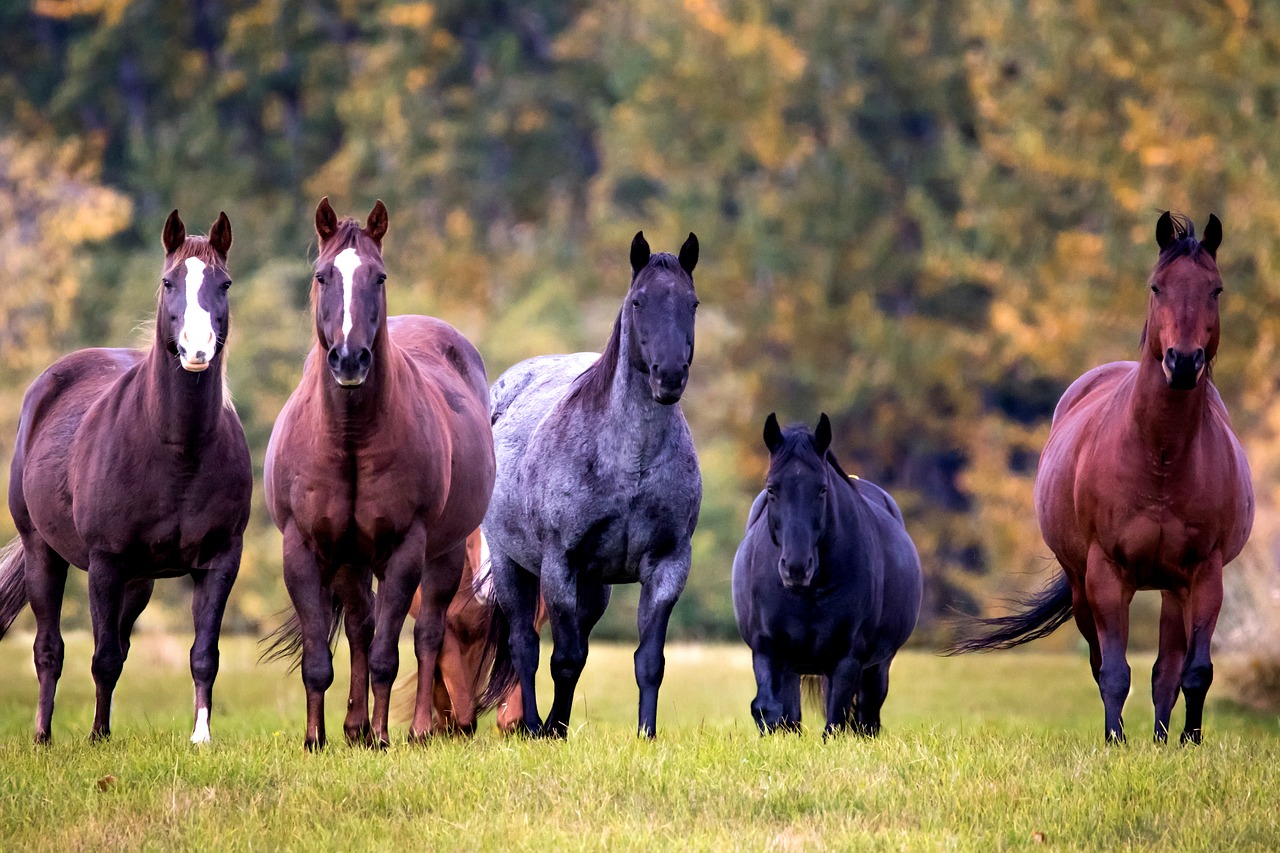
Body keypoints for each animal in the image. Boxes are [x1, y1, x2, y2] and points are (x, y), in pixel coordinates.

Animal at [0, 208, 252, 742]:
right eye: (169, 281)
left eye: (223, 283)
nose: (196, 350)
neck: (176, 454)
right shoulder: (106, 562)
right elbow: (103, 658)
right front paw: (98, 737)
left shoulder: (220, 561)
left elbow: (203, 655)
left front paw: (201, 736)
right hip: (43, 553)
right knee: (49, 650)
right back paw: (43, 736)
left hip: (140, 581)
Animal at [261, 195, 494, 747]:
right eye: (323, 275)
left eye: (379, 276)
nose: (350, 359)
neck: (349, 439)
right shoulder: (305, 549)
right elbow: (322, 657)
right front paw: (317, 739)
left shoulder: (404, 550)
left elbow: (391, 654)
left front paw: (385, 736)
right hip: (352, 560)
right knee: (360, 628)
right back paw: (354, 727)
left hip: (444, 553)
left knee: (428, 633)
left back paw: (419, 729)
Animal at [481, 229, 701, 732]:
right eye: (639, 300)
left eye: (693, 303)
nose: (670, 376)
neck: (629, 465)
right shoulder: (560, 565)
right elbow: (562, 658)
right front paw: (548, 733)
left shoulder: (668, 566)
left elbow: (648, 662)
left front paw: (645, 735)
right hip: (510, 564)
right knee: (524, 645)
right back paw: (532, 725)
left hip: (595, 587)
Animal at [737, 412, 926, 732]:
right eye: (772, 488)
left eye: (822, 489)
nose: (796, 567)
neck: (809, 593)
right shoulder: (767, 651)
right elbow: (768, 710)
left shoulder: (846, 659)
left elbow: (835, 722)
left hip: (877, 666)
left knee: (867, 715)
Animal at [947, 212, 1254, 742]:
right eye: (1156, 286)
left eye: (1215, 289)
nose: (1183, 362)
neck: (1160, 458)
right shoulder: (1106, 573)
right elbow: (1112, 671)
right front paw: (1115, 743)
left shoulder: (1205, 573)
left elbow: (1195, 671)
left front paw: (1189, 744)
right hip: (1081, 584)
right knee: (1103, 661)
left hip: (1173, 588)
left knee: (1167, 669)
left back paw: (1161, 740)